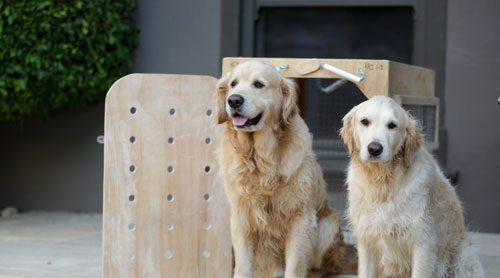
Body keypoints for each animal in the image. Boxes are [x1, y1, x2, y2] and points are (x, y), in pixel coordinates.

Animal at [215, 61, 348, 278]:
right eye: (233, 83)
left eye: (259, 84)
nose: (233, 100)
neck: (260, 160)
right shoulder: (241, 217)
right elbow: (242, 267)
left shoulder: (300, 219)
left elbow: (294, 267)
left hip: (328, 223)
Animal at [338, 96, 482, 278]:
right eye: (364, 121)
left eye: (392, 125)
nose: (374, 149)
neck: (383, 183)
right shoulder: (367, 241)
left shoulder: (423, 243)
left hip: (463, 258)